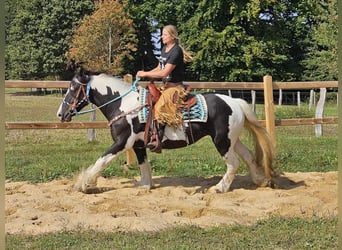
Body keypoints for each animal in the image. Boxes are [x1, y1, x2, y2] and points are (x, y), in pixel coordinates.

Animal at [56, 72, 276, 193]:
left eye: (73, 88)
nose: (61, 113)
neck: (123, 104)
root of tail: (234, 102)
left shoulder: (122, 142)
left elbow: (101, 161)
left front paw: (83, 184)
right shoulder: (138, 144)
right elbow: (144, 165)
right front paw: (145, 186)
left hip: (222, 141)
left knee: (234, 163)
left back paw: (219, 188)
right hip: (232, 140)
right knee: (248, 157)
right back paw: (261, 181)